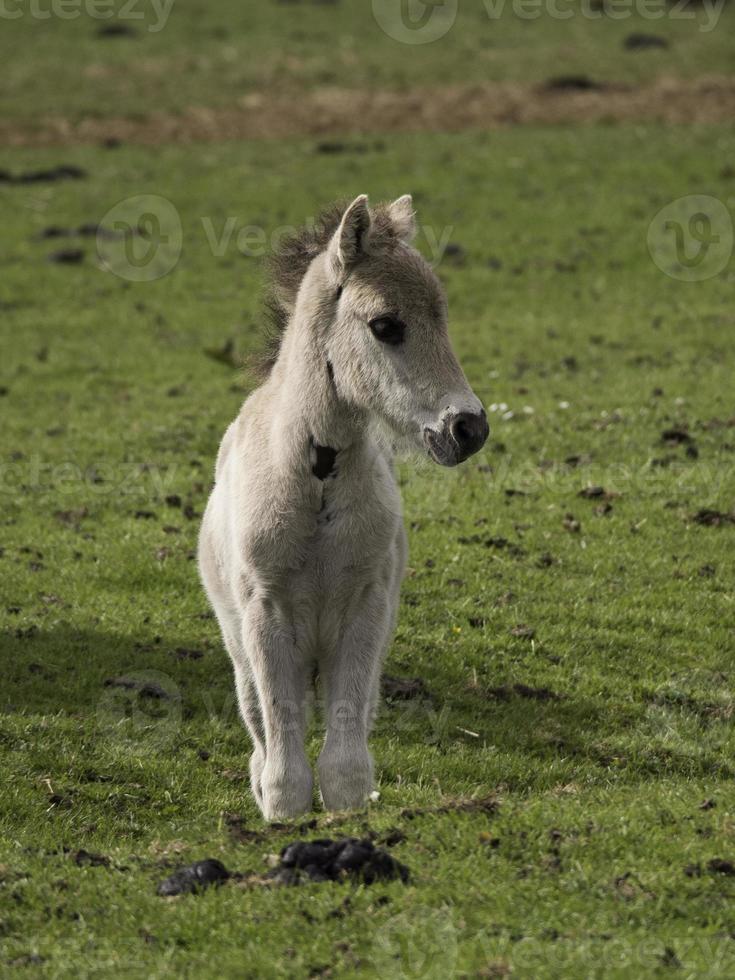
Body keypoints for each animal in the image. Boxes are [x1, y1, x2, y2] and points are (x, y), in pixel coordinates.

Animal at [200, 197, 488, 820]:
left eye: (442, 317)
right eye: (385, 325)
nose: (469, 428)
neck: (318, 479)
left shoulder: (366, 610)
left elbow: (346, 758)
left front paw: (348, 810)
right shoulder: (266, 614)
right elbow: (281, 739)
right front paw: (281, 811)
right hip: (237, 644)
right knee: (256, 719)